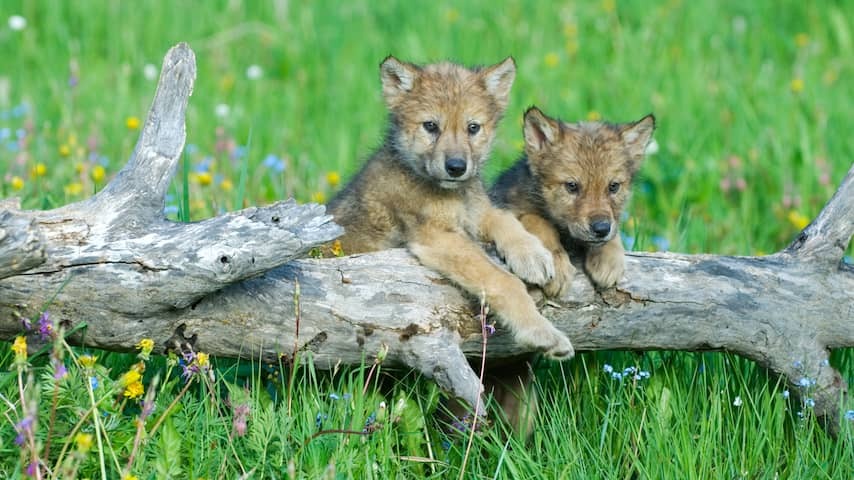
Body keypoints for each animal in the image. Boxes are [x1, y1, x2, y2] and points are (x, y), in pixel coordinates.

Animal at [327, 57, 573, 359]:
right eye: (431, 126)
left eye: (473, 127)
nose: (456, 167)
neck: (453, 194)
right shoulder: (437, 237)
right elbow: (502, 280)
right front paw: (541, 333)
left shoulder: (478, 212)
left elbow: (505, 219)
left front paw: (533, 255)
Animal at [491, 107, 656, 297]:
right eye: (572, 186)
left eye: (613, 186)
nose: (601, 229)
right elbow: (538, 222)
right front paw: (557, 267)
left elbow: (614, 230)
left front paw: (609, 259)